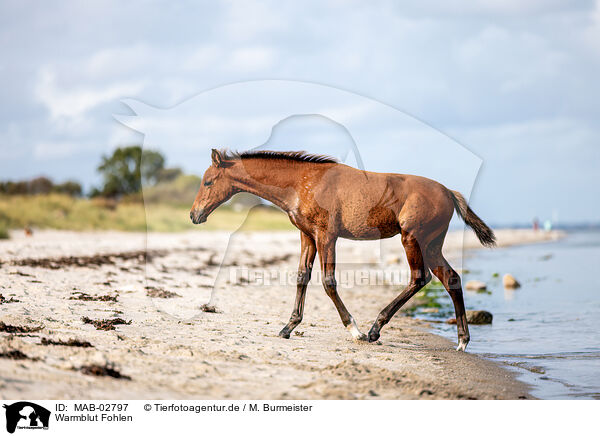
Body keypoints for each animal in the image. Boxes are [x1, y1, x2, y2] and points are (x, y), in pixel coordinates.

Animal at [190, 149, 494, 350]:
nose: (194, 215)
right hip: (432, 244)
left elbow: (328, 282)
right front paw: (288, 327)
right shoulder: (307, 235)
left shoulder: (327, 236)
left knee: (420, 278)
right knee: (451, 278)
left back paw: (374, 330)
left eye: (208, 182)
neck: (302, 182)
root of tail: (449, 192)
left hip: (412, 239)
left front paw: (354, 330)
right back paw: (462, 341)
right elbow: (302, 277)